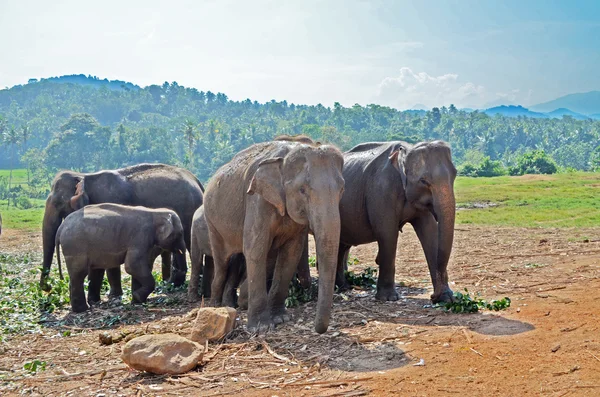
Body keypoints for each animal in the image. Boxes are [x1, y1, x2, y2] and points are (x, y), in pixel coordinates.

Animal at [40, 162, 204, 296]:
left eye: (58, 204)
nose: (49, 287)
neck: (84, 176)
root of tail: (197, 180)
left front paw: (113, 295)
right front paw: (113, 294)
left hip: (188, 211)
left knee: (188, 243)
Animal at [56, 204, 189, 312]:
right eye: (180, 233)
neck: (155, 212)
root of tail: (61, 227)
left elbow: (141, 266)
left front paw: (136, 300)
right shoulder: (141, 237)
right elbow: (132, 266)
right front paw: (138, 297)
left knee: (76, 276)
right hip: (75, 247)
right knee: (79, 274)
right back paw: (82, 309)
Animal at [204, 141, 344, 332]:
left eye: (342, 190)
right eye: (302, 190)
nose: (318, 329)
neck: (284, 159)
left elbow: (291, 253)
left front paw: (280, 319)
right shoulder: (257, 200)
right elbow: (255, 249)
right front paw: (260, 328)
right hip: (212, 223)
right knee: (222, 263)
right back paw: (217, 305)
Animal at [336, 142, 458, 304]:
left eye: (455, 174)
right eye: (423, 181)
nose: (433, 297)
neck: (406, 150)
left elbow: (430, 233)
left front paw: (447, 298)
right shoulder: (382, 191)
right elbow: (387, 233)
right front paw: (388, 298)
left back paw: (342, 287)